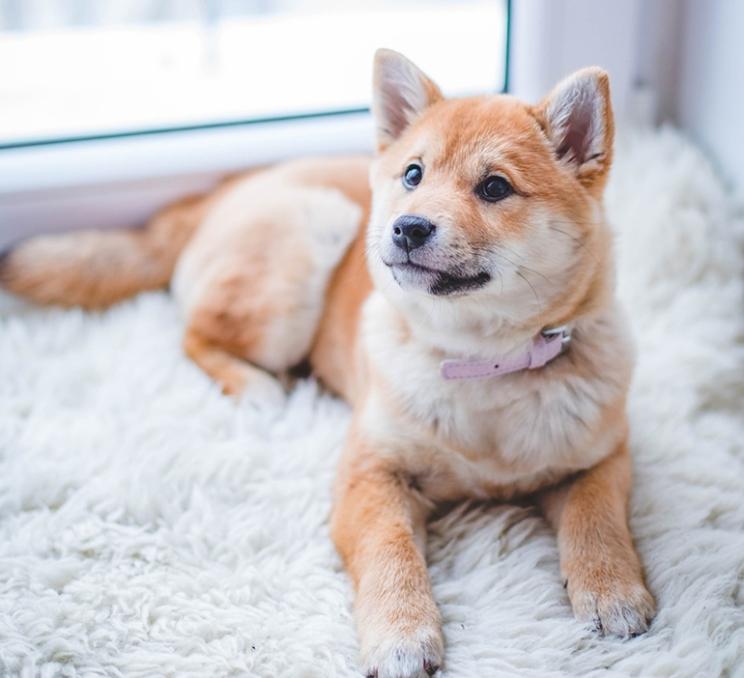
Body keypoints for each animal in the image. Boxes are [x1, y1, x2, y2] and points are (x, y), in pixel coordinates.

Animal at [0, 50, 652, 678]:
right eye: (413, 175)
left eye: (494, 188)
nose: (407, 227)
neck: (481, 364)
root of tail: (225, 190)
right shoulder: (371, 472)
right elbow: (391, 553)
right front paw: (401, 634)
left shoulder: (602, 455)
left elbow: (597, 520)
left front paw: (612, 589)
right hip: (302, 252)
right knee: (195, 334)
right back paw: (257, 385)